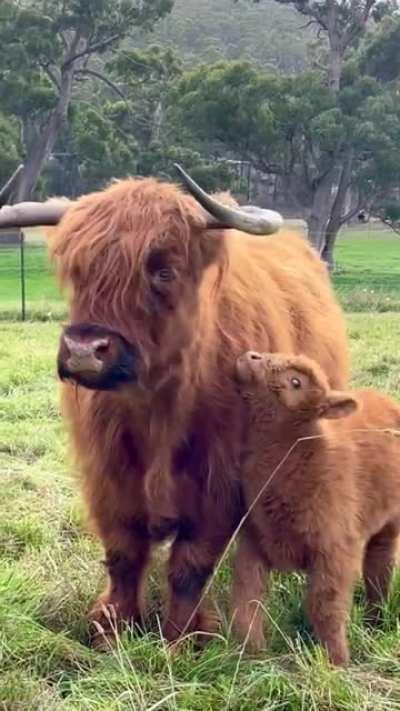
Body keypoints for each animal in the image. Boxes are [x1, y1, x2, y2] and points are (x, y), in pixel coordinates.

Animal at [0, 165, 349, 648]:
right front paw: (113, 627)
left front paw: (181, 639)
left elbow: (190, 565)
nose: (85, 351)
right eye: (76, 269)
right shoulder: (108, 475)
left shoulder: (220, 484)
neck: (157, 409)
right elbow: (123, 554)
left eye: (164, 271)